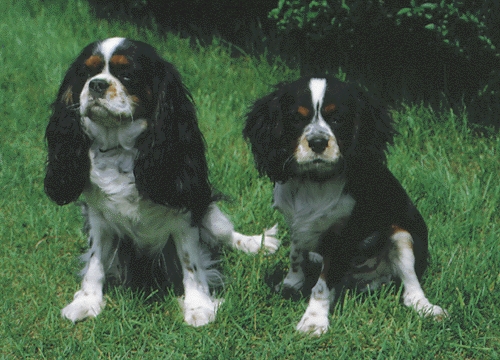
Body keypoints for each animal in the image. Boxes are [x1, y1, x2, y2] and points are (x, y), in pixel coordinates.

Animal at [43, 38, 280, 328]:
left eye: (127, 75)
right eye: (86, 73)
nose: (97, 84)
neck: (120, 149)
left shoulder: (184, 217)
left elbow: (191, 264)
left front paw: (199, 306)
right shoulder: (98, 218)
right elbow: (95, 262)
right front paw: (86, 301)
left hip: (209, 212)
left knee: (226, 235)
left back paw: (257, 243)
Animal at [242, 75, 446, 334]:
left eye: (337, 119)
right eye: (297, 118)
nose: (318, 142)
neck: (315, 181)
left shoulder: (344, 236)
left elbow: (322, 284)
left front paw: (313, 321)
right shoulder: (297, 224)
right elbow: (296, 255)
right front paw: (291, 284)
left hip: (402, 235)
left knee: (410, 288)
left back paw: (426, 308)